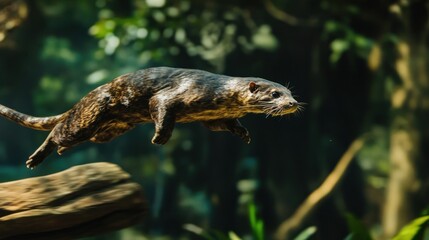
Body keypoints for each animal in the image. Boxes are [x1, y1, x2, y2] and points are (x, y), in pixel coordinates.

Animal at [0, 66, 300, 169]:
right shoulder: (170, 97)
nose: (293, 103)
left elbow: (224, 126)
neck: (221, 92)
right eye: (275, 94)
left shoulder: (216, 117)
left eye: (289, 91)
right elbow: (162, 109)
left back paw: (62, 152)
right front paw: (160, 137)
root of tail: (85, 97)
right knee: (57, 130)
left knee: (79, 138)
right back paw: (35, 159)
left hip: (110, 130)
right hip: (86, 119)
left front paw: (244, 134)